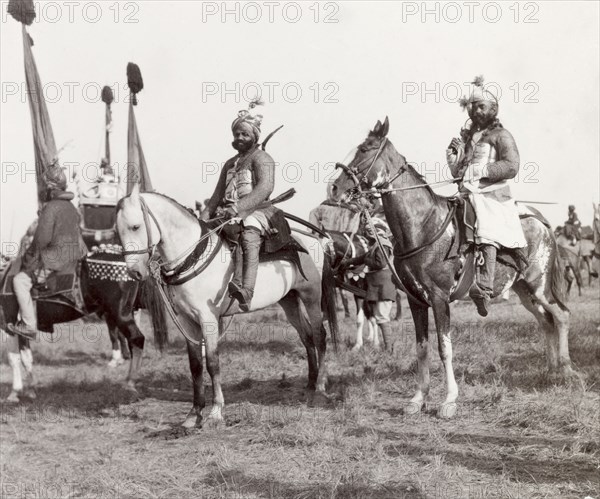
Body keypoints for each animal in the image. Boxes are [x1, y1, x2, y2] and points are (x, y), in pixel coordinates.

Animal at [117, 188, 340, 430]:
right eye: (118, 231)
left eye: (135, 226)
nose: (135, 272)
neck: (193, 255)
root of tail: (316, 240)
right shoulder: (187, 321)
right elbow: (195, 366)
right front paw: (194, 413)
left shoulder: (208, 319)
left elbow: (212, 363)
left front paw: (216, 412)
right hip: (289, 300)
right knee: (306, 337)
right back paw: (310, 383)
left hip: (312, 297)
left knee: (319, 336)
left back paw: (320, 387)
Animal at [330, 117, 576, 418]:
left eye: (364, 149)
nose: (335, 188)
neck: (424, 226)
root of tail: (542, 223)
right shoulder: (416, 301)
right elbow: (422, 348)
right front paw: (418, 398)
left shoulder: (439, 298)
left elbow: (444, 347)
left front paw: (449, 400)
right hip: (524, 291)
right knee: (545, 321)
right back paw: (552, 369)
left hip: (540, 286)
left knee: (561, 316)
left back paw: (565, 369)